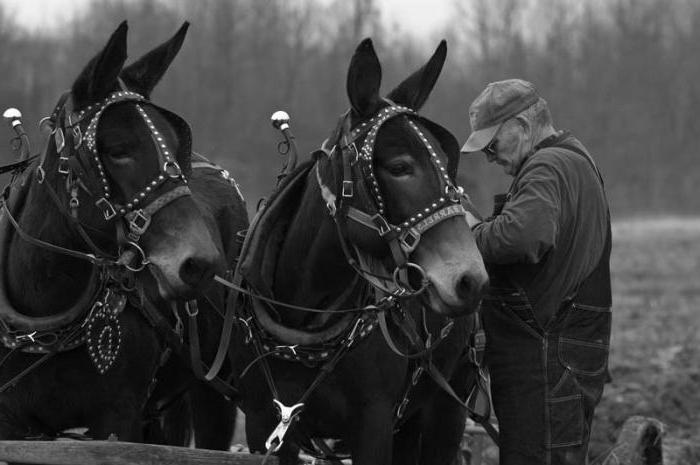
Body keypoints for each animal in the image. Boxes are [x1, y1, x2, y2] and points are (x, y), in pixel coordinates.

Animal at [0, 20, 246, 448]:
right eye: (117, 149)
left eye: (177, 145)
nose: (201, 263)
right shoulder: (13, 424)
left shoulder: (118, 420)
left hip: (213, 390)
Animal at [227, 39, 490, 464]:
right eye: (400, 167)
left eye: (448, 163)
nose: (470, 279)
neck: (304, 324)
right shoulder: (264, 424)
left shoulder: (374, 425)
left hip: (447, 411)